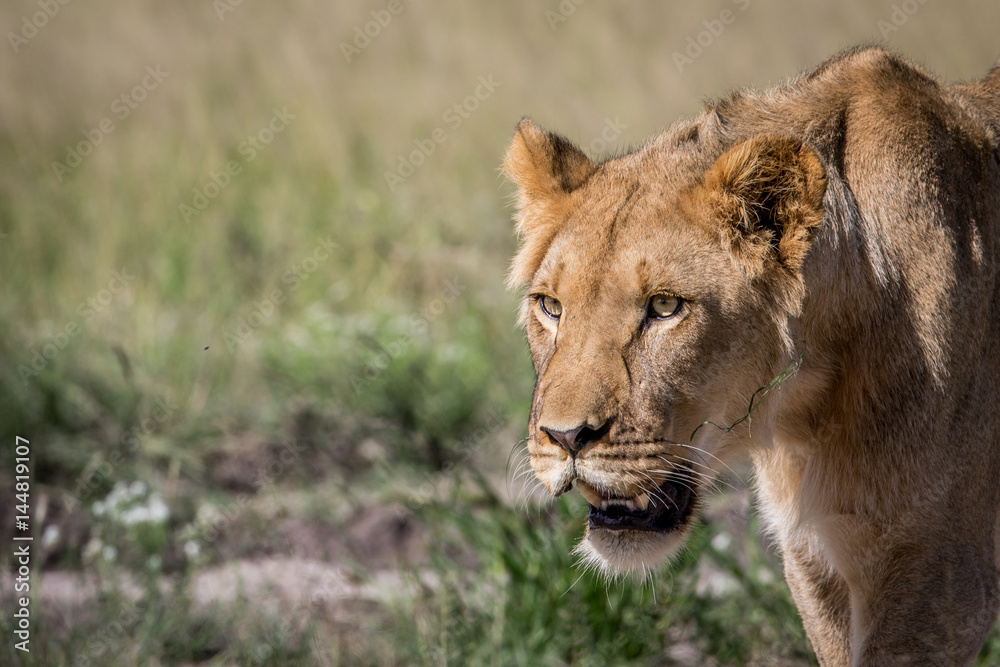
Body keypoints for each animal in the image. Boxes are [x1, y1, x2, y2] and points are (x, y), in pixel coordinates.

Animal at [502, 46, 1000, 665]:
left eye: (664, 306)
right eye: (551, 306)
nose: (565, 438)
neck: (807, 412)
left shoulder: (944, 576)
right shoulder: (816, 562)